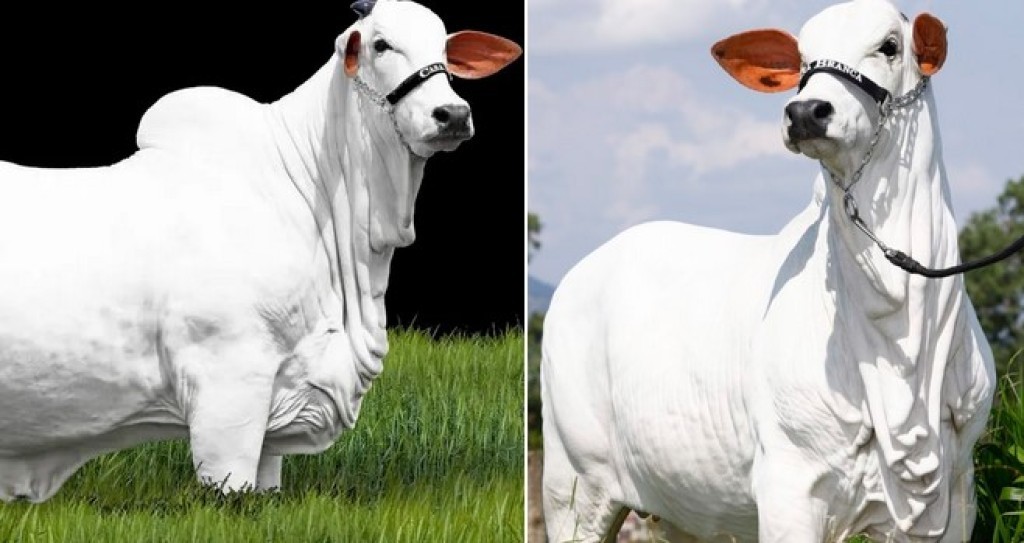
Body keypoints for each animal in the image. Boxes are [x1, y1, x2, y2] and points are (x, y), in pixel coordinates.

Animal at [540, 1, 995, 541]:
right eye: (801, 60)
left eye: (889, 45)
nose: (806, 112)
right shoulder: (789, 486)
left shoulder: (956, 494)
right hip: (573, 484)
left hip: (680, 506)